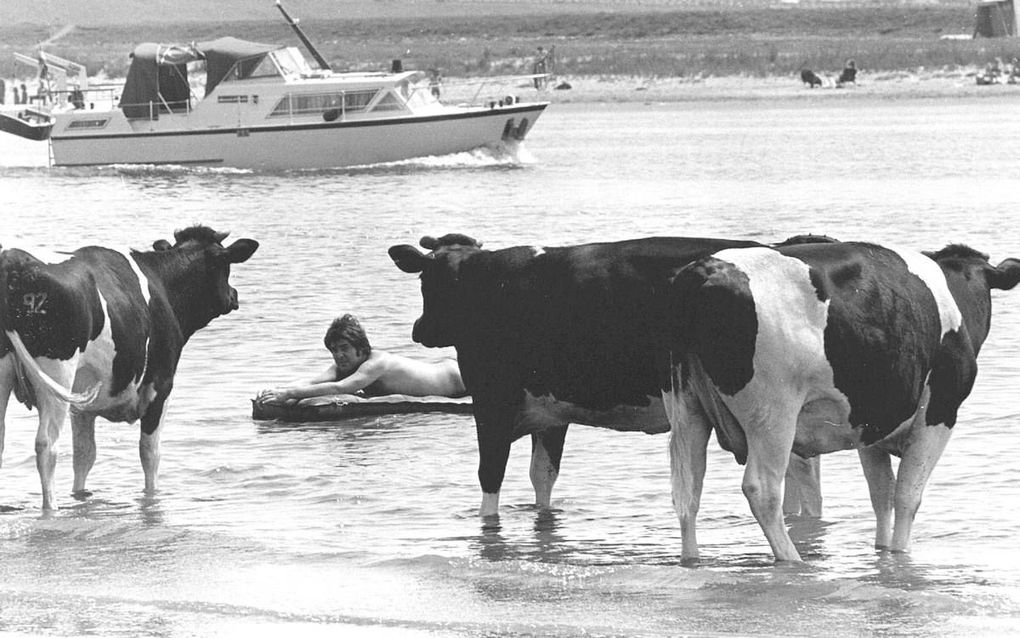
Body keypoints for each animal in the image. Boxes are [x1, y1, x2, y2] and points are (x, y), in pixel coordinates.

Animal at [0, 226, 259, 510]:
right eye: (226, 265)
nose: (234, 295)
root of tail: (13, 260)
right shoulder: (160, 385)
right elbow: (150, 452)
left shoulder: (83, 405)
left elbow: (85, 455)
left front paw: (81, 497)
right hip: (57, 373)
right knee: (47, 445)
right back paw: (51, 507)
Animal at [669, 240, 1020, 559]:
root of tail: (705, 269)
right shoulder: (938, 412)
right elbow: (907, 495)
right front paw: (901, 552)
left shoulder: (871, 427)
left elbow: (882, 495)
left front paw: (883, 551)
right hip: (772, 413)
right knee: (762, 489)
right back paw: (792, 559)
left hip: (688, 407)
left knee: (688, 493)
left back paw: (692, 559)